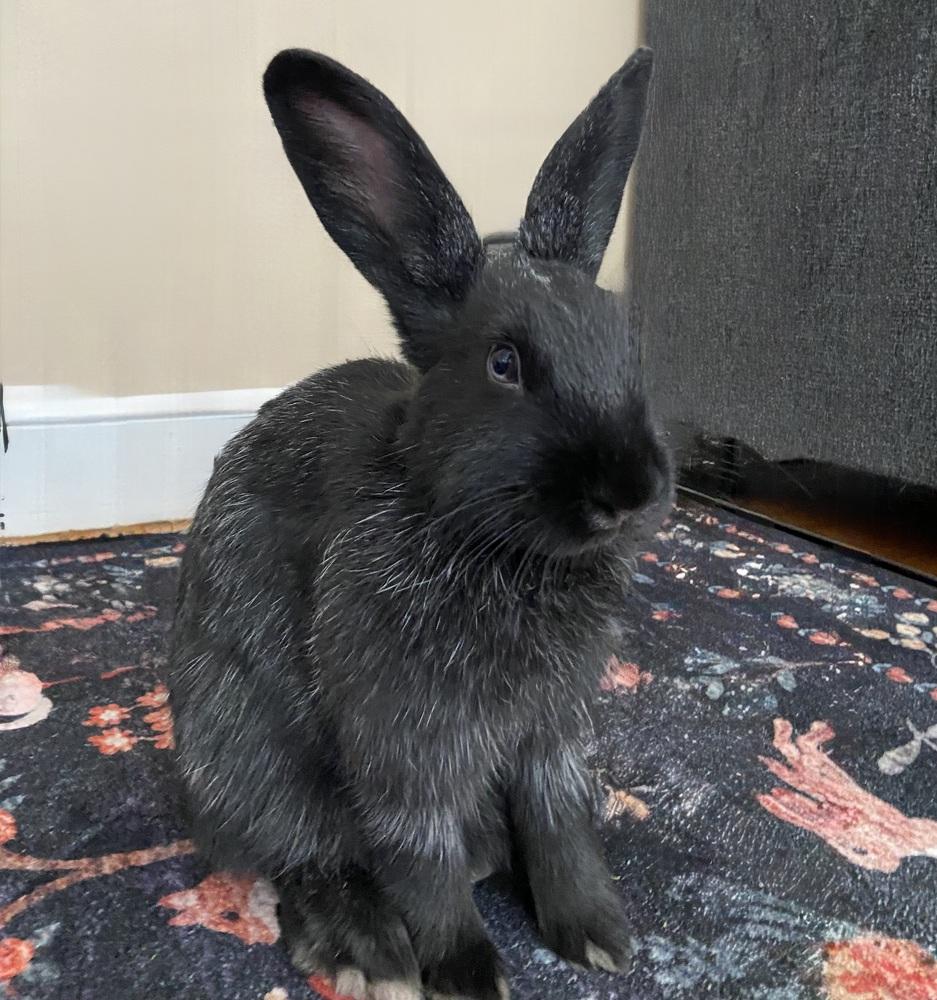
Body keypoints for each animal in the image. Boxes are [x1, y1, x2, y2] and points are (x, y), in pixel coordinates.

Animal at [167, 45, 672, 1000]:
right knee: (306, 852)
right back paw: (365, 951)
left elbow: (559, 822)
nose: (629, 491)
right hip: (247, 744)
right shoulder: (404, 741)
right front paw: (470, 972)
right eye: (505, 364)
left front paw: (597, 936)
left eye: (630, 350)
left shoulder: (552, 733)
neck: (498, 551)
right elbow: (418, 855)